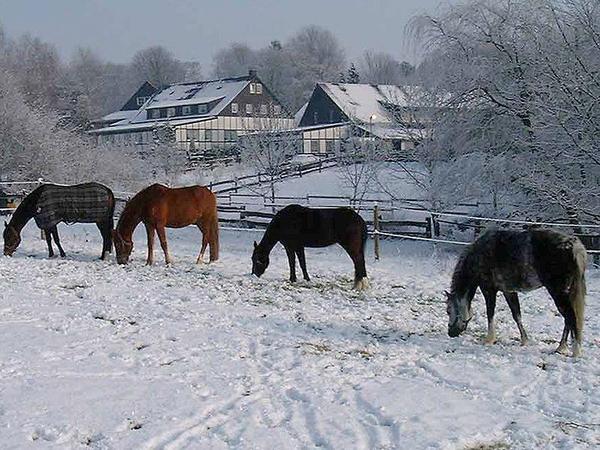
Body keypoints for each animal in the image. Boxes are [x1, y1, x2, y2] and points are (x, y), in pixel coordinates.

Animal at [446, 229, 584, 358]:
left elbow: (490, 313)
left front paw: (489, 339)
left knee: (571, 317)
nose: (450, 333)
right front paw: (524, 341)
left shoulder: (488, 289)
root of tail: (572, 245)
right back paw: (561, 348)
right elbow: (517, 315)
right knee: (568, 319)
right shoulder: (509, 292)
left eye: (448, 311)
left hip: (558, 292)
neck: (478, 256)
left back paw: (575, 352)